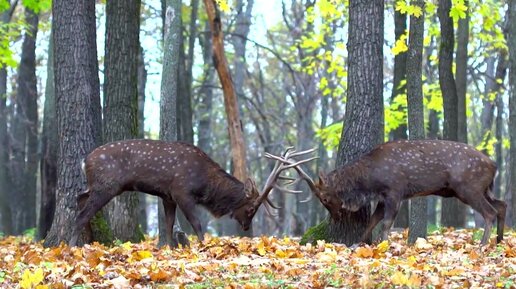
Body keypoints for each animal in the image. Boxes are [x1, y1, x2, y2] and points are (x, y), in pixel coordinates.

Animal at [70, 139, 312, 245]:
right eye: (252, 208)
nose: (246, 227)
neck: (204, 183)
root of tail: (84, 161)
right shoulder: (181, 192)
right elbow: (196, 223)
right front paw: (204, 246)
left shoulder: (167, 195)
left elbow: (169, 224)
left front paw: (168, 249)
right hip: (106, 185)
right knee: (82, 215)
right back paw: (73, 247)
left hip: (96, 185)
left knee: (79, 198)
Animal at [270, 138, 508, 244]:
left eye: (325, 198)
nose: (337, 217)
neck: (370, 181)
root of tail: (494, 165)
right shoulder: (383, 197)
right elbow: (372, 220)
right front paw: (360, 243)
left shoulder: (395, 190)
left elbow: (386, 222)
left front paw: (384, 245)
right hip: (480, 189)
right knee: (502, 204)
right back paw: (499, 240)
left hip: (468, 187)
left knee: (489, 212)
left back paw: (482, 243)